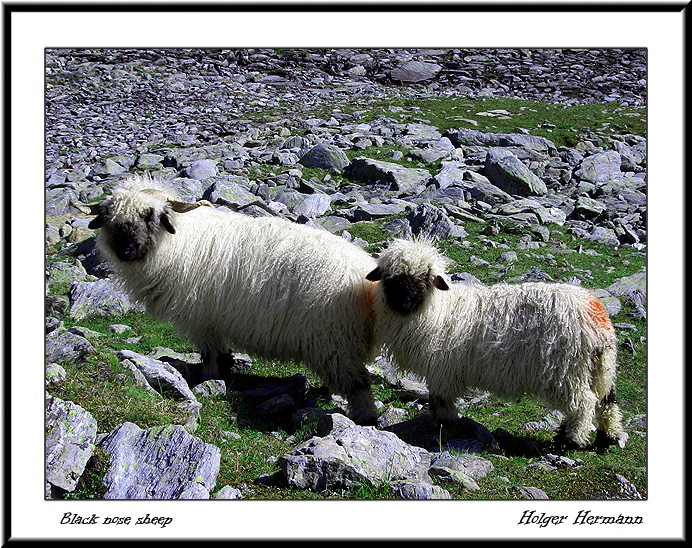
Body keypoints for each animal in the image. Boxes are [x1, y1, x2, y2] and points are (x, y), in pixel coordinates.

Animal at [73, 175, 380, 425]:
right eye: (109, 218)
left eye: (150, 215)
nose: (126, 250)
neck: (178, 243)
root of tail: (366, 277)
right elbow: (219, 353)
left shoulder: (200, 318)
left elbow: (210, 354)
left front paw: (209, 378)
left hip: (335, 340)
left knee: (359, 385)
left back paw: (364, 417)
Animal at [366, 237, 624, 449]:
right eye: (392, 278)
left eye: (424, 279)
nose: (405, 303)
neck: (438, 310)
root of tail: (594, 311)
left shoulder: (442, 369)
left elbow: (440, 398)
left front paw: (444, 422)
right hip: (600, 367)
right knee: (607, 401)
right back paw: (607, 437)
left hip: (567, 370)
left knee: (584, 403)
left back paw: (570, 440)